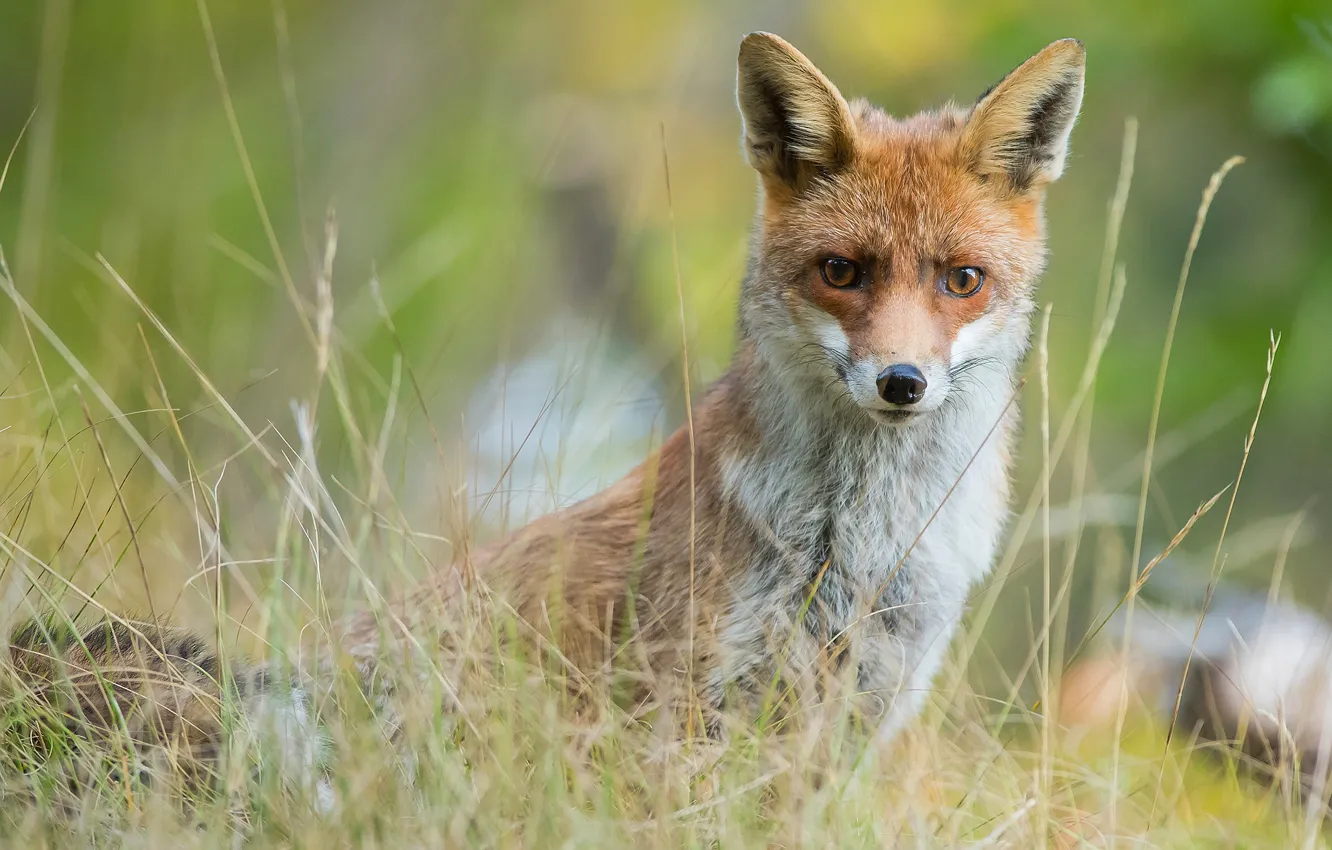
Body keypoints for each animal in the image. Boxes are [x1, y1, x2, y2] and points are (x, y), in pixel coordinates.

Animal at [5, 32, 1085, 794]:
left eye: (961, 280)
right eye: (841, 272)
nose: (901, 381)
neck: (854, 546)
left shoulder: (845, 726)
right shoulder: (683, 715)